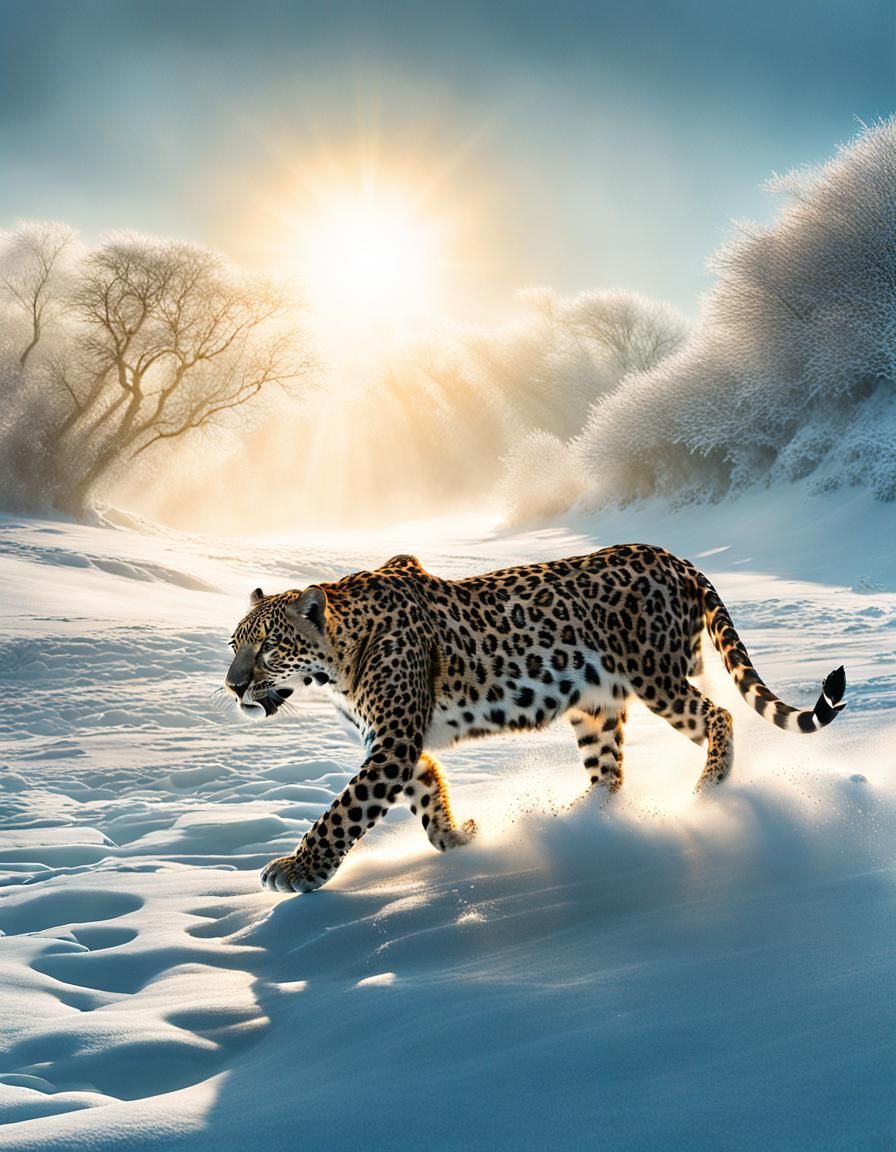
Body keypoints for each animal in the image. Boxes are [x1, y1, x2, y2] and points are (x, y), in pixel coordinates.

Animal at [225, 546, 846, 894]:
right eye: (235, 645)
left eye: (269, 648)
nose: (232, 686)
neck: (335, 666)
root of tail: (676, 558)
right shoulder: (400, 744)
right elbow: (426, 795)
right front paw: (460, 838)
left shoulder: (393, 742)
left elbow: (343, 811)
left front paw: (298, 870)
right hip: (596, 704)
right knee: (610, 774)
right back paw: (577, 823)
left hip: (655, 676)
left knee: (718, 715)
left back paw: (710, 787)